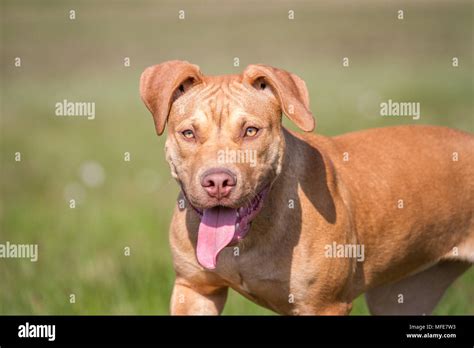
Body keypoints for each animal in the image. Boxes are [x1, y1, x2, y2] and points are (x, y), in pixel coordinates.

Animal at [139, 59, 472, 316]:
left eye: (251, 131)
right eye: (189, 133)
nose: (218, 181)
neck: (249, 237)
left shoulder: (325, 305)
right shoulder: (195, 290)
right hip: (403, 294)